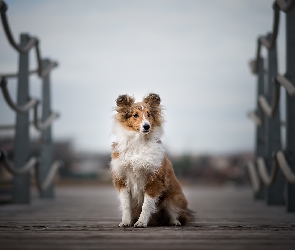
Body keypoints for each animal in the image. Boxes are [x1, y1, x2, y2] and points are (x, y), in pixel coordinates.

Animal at [110, 93, 192, 228]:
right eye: (135, 115)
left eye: (149, 114)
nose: (146, 126)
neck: (139, 141)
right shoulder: (122, 180)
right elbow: (126, 205)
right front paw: (126, 222)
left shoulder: (154, 181)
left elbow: (147, 205)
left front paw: (141, 222)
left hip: (175, 198)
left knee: (175, 213)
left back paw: (174, 222)